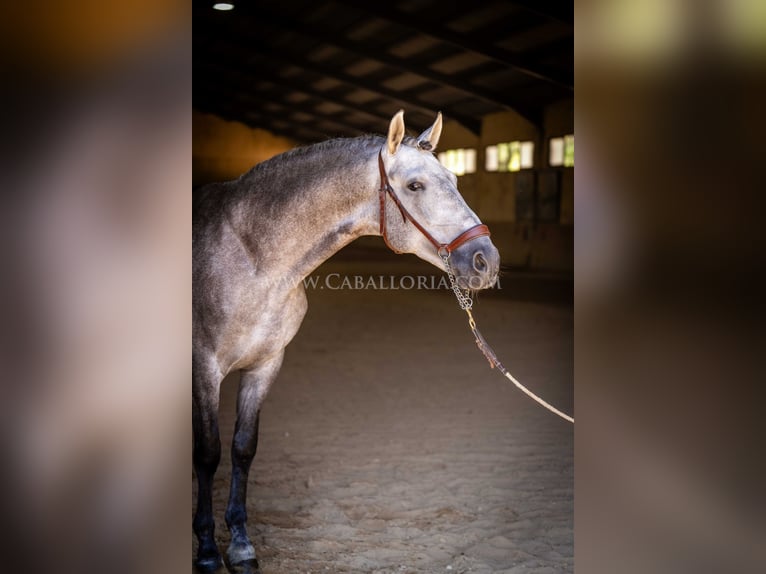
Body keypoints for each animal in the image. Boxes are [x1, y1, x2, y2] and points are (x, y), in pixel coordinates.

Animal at [195, 111, 500, 572]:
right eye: (415, 186)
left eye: (454, 179)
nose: (487, 261)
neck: (252, 258)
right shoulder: (204, 368)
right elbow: (208, 453)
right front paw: (208, 551)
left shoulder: (264, 365)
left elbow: (242, 448)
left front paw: (242, 546)